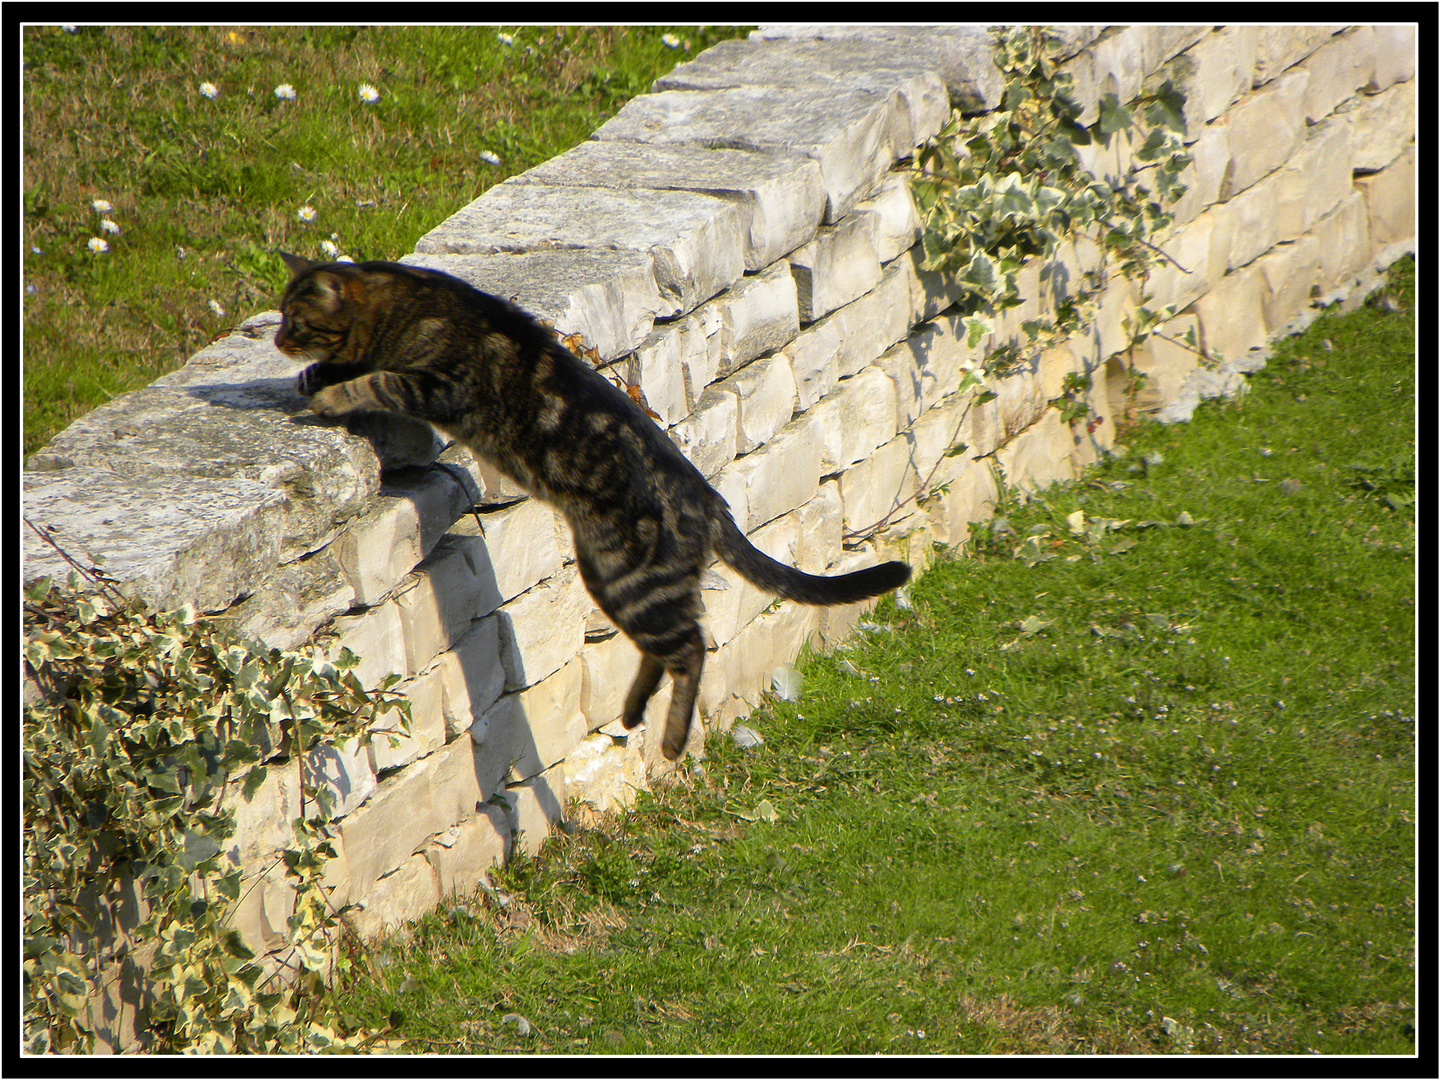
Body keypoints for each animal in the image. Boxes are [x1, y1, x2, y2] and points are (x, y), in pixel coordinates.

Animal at [272, 253, 910, 760]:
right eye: (278, 316)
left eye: (294, 320)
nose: (278, 341)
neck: (408, 301)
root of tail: (709, 500)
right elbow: (354, 367)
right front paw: (315, 376)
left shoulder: (439, 385)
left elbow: (377, 381)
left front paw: (331, 394)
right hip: (606, 576)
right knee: (673, 644)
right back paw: (631, 712)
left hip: (632, 580)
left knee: (692, 646)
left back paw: (671, 740)